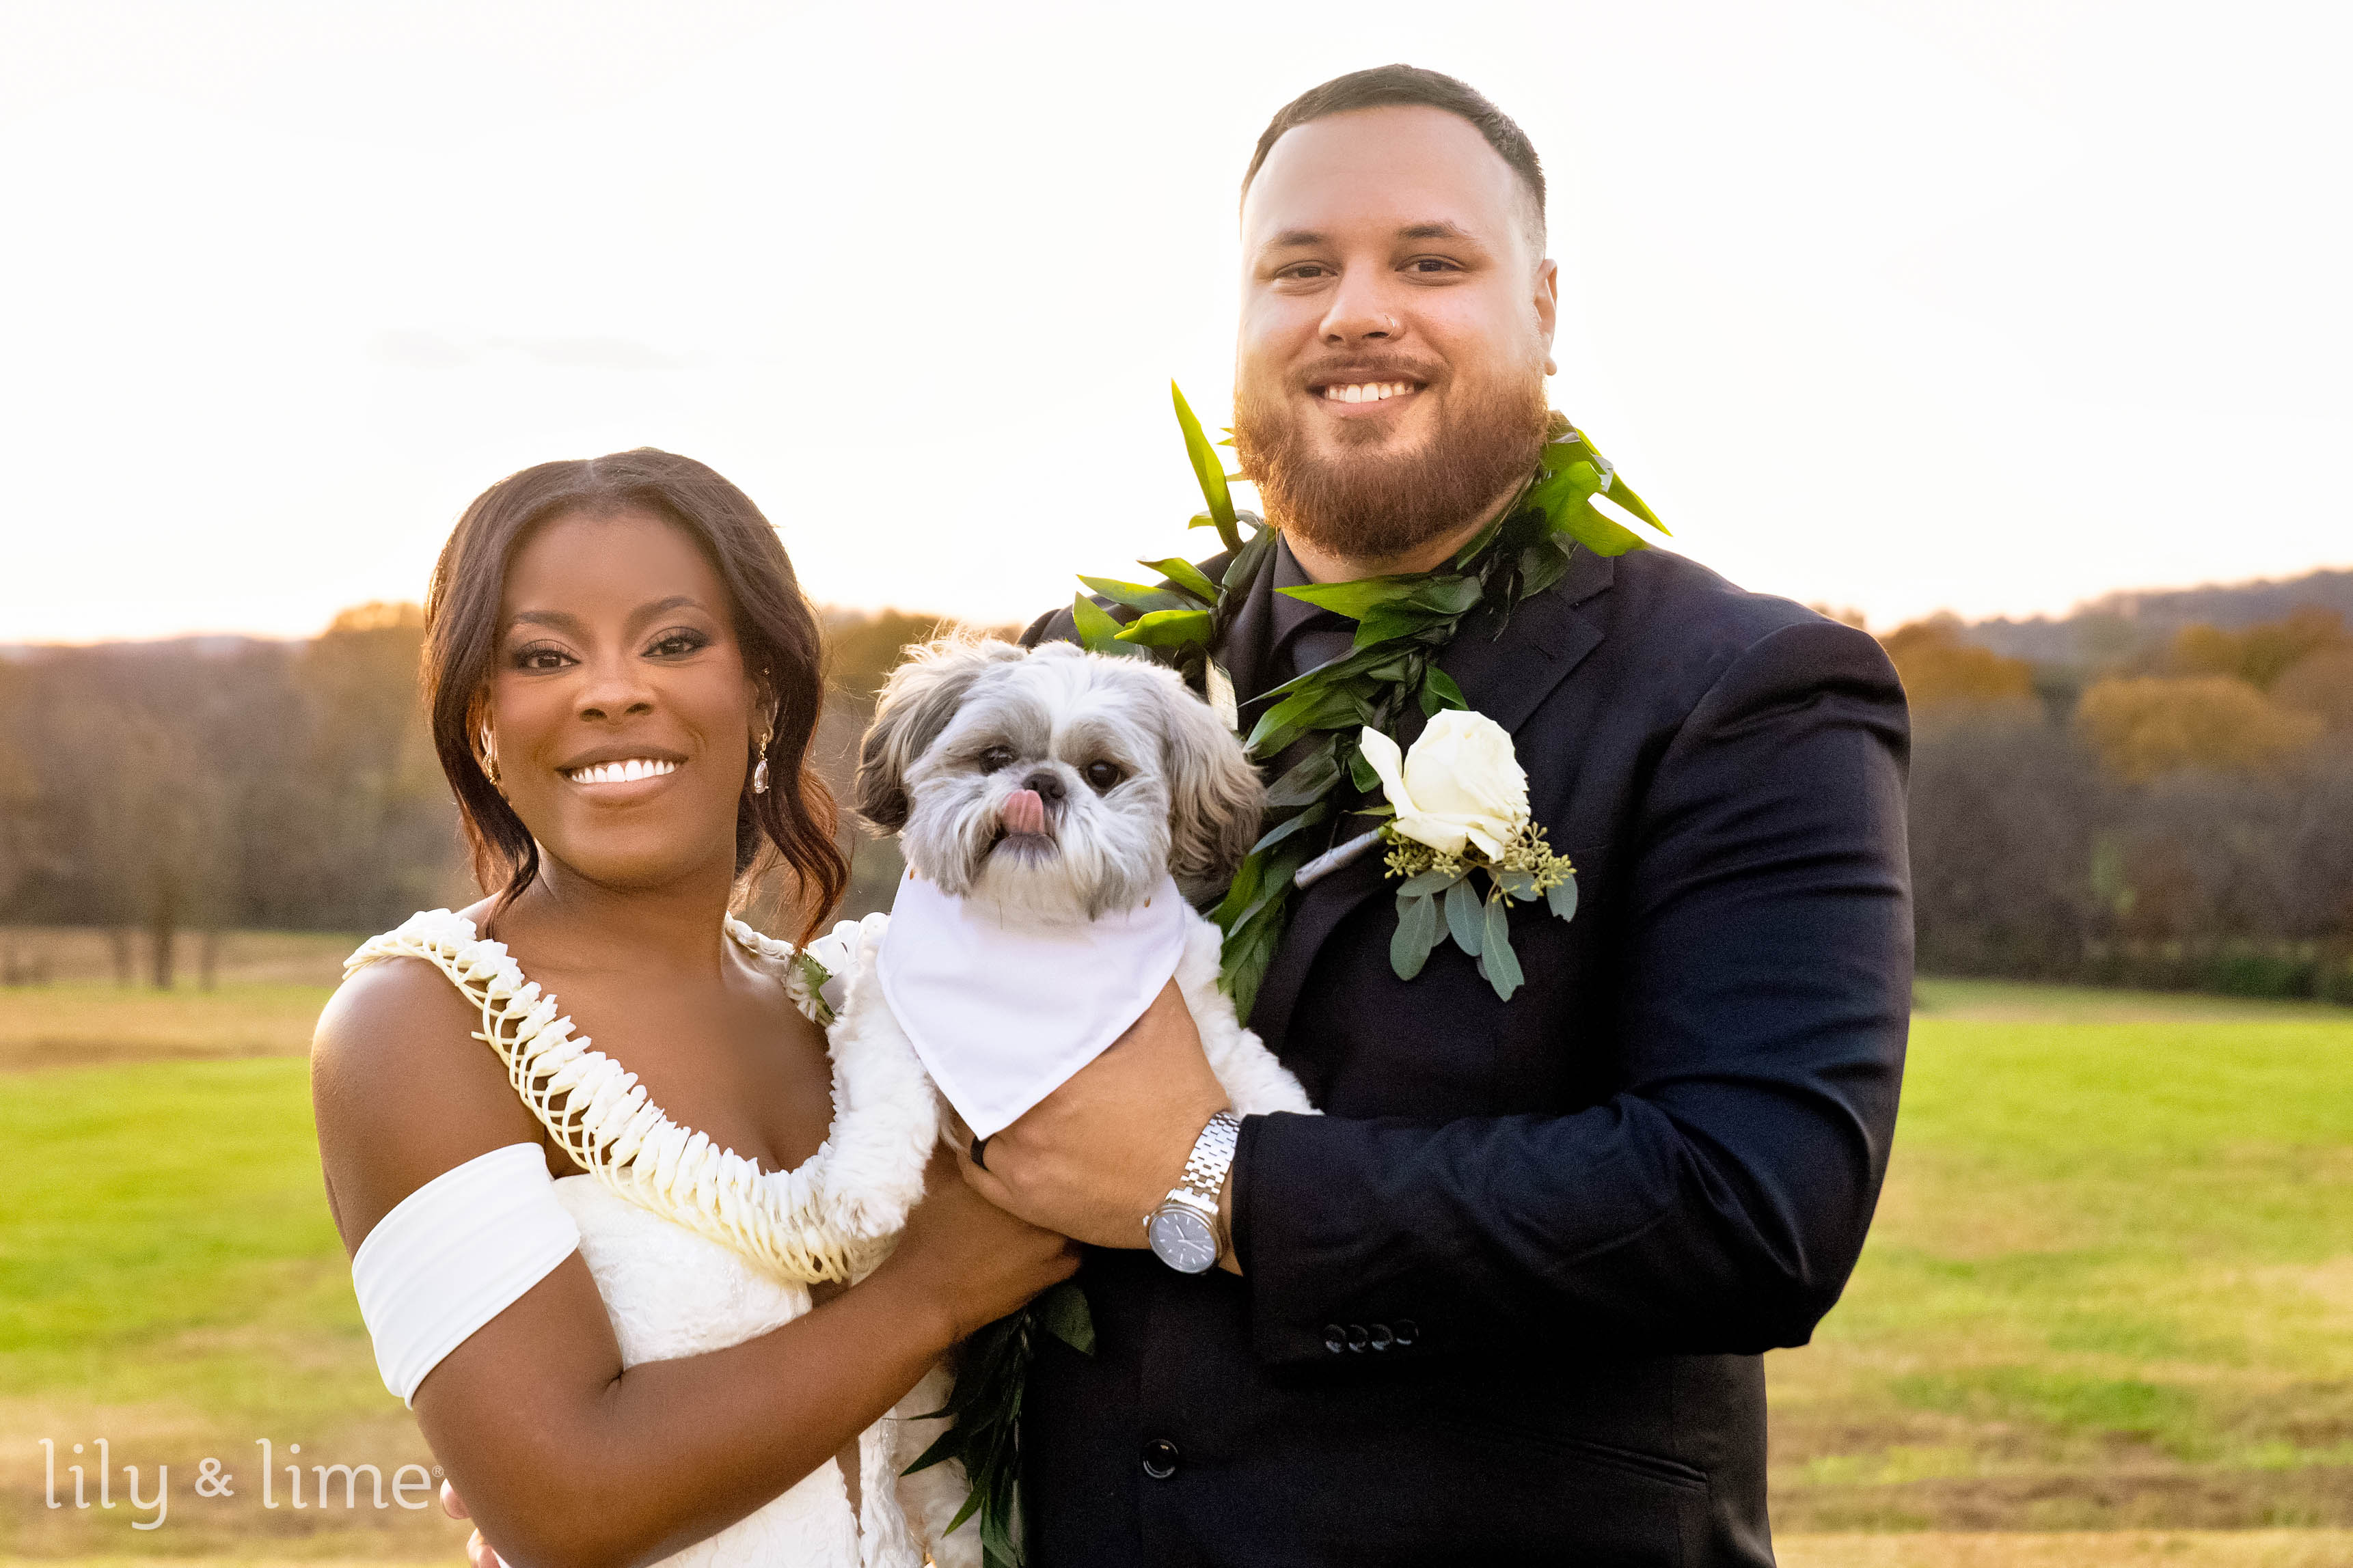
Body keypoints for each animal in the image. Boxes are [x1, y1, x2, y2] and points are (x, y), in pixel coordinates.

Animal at [838, 635, 1316, 1564]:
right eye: (993, 757)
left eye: (1100, 773)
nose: (1041, 784)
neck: (1034, 943)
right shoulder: (883, 1001)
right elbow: (884, 1087)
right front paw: (866, 1186)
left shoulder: (1197, 1008)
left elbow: (1246, 1076)